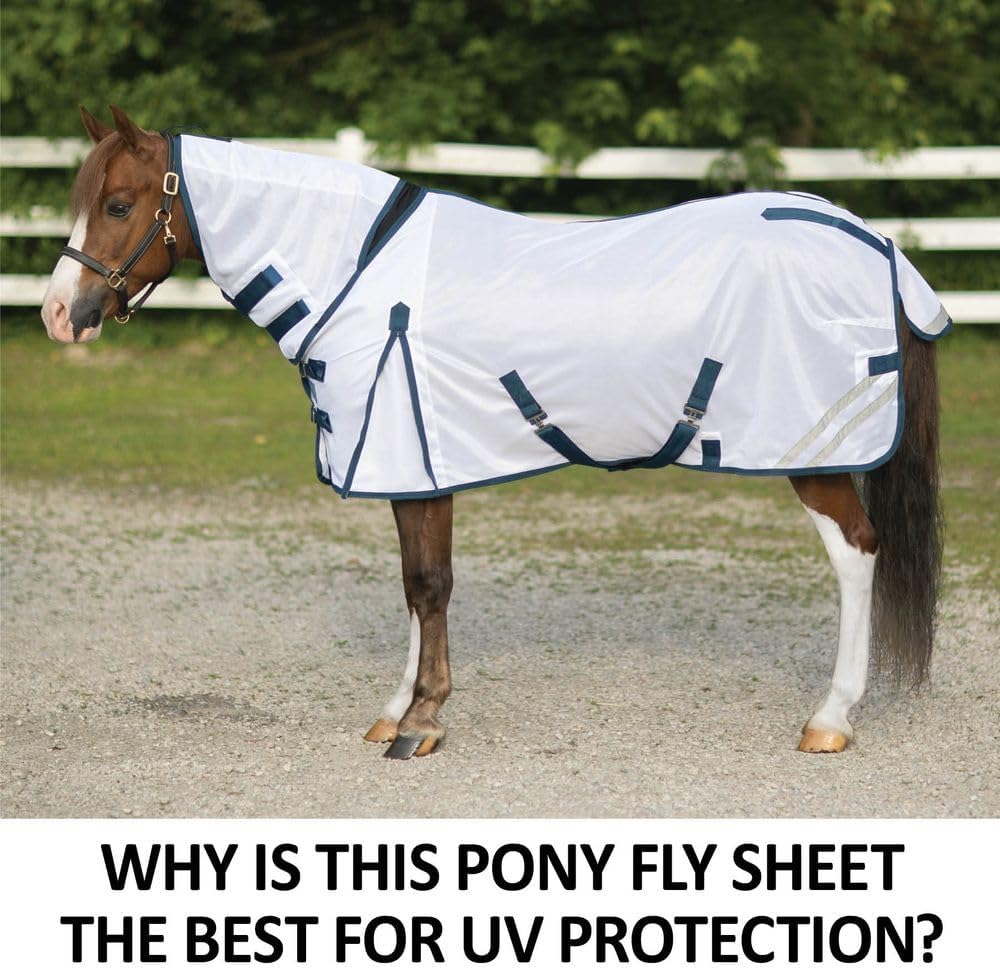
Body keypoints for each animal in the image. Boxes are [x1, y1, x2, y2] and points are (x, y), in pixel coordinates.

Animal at [40, 106, 946, 760]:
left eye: (118, 204)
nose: (59, 313)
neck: (357, 271)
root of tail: (871, 239)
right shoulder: (407, 465)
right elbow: (414, 586)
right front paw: (395, 709)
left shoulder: (412, 453)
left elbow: (430, 585)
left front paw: (422, 721)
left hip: (814, 455)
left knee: (857, 552)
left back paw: (831, 717)